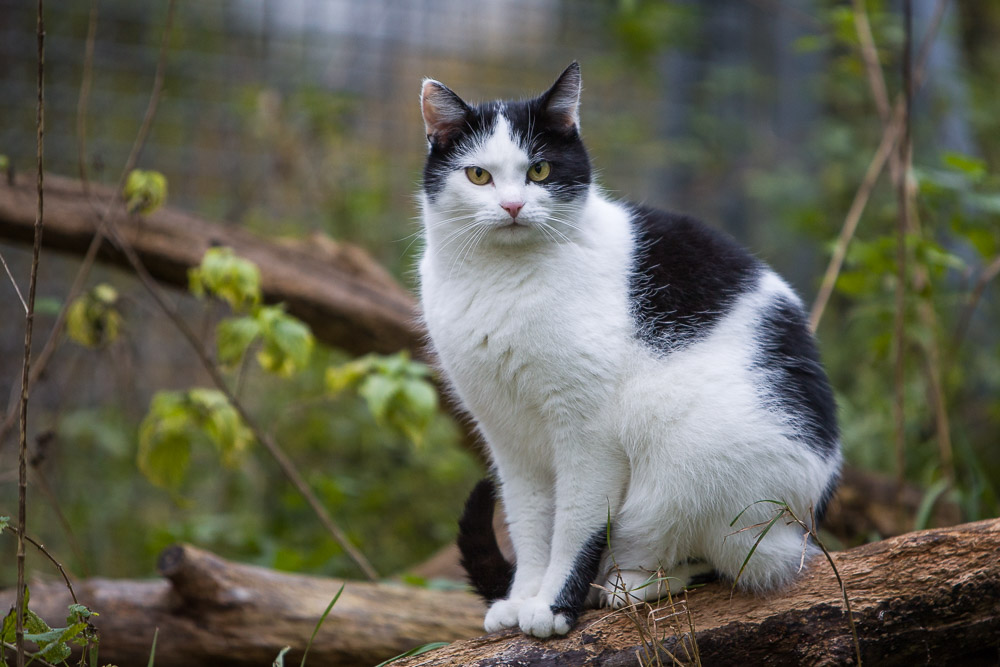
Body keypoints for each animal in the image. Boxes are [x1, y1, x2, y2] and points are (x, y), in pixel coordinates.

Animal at [418, 64, 840, 640]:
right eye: (478, 176)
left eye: (540, 170)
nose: (512, 206)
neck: (501, 279)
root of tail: (807, 519)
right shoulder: (507, 437)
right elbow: (530, 524)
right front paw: (522, 596)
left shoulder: (588, 432)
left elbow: (574, 524)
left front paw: (553, 606)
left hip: (693, 463)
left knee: (728, 561)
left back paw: (626, 585)